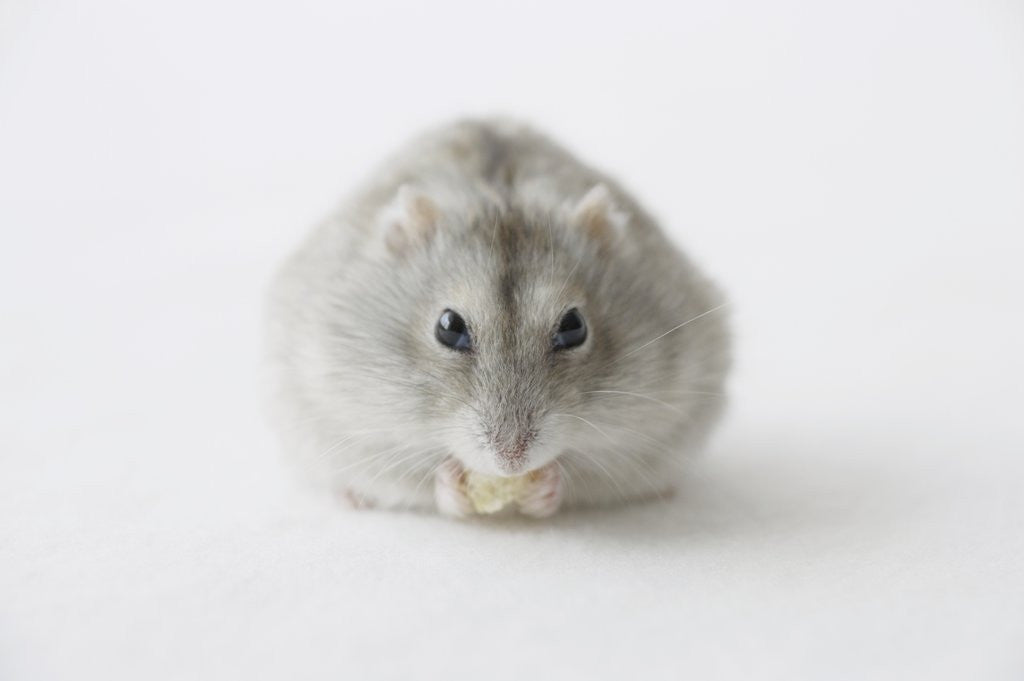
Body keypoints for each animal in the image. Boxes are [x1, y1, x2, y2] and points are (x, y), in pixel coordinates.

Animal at [266, 119, 731, 518]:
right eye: (448, 327)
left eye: (574, 327)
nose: (511, 461)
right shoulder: (344, 420)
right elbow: (425, 481)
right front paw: (453, 482)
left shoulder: (657, 431)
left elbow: (579, 474)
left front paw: (546, 486)